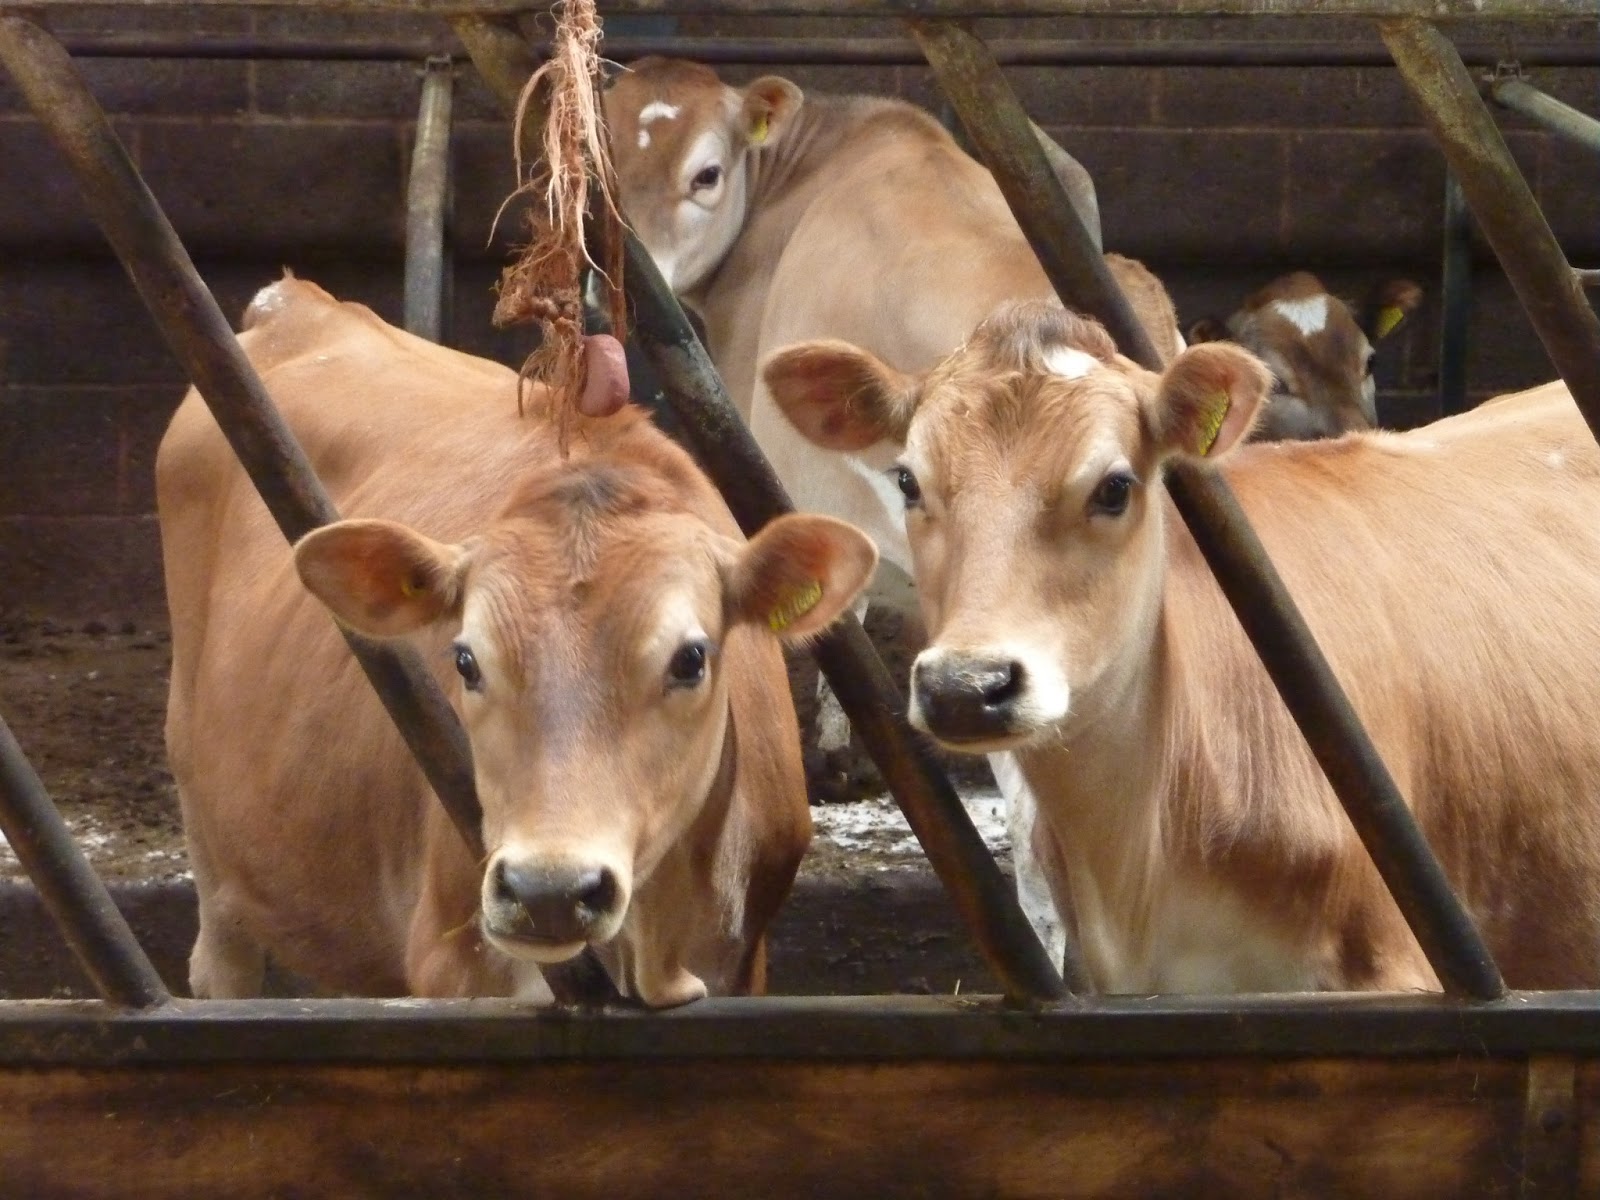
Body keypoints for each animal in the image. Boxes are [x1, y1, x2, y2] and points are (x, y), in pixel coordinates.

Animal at [158, 276, 876, 1007]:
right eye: (465, 661)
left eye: (691, 659)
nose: (548, 891)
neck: (656, 950)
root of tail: (298, 302)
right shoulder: (458, 964)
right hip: (207, 832)